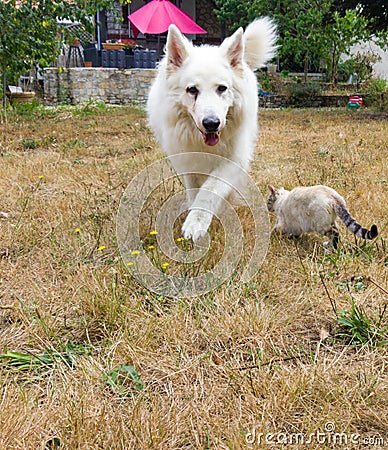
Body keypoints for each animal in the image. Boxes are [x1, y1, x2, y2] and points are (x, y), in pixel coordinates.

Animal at [147, 18, 278, 243]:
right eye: (192, 90)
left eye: (222, 88)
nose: (211, 123)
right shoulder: (188, 162)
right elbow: (195, 190)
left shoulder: (233, 160)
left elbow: (210, 190)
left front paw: (196, 222)